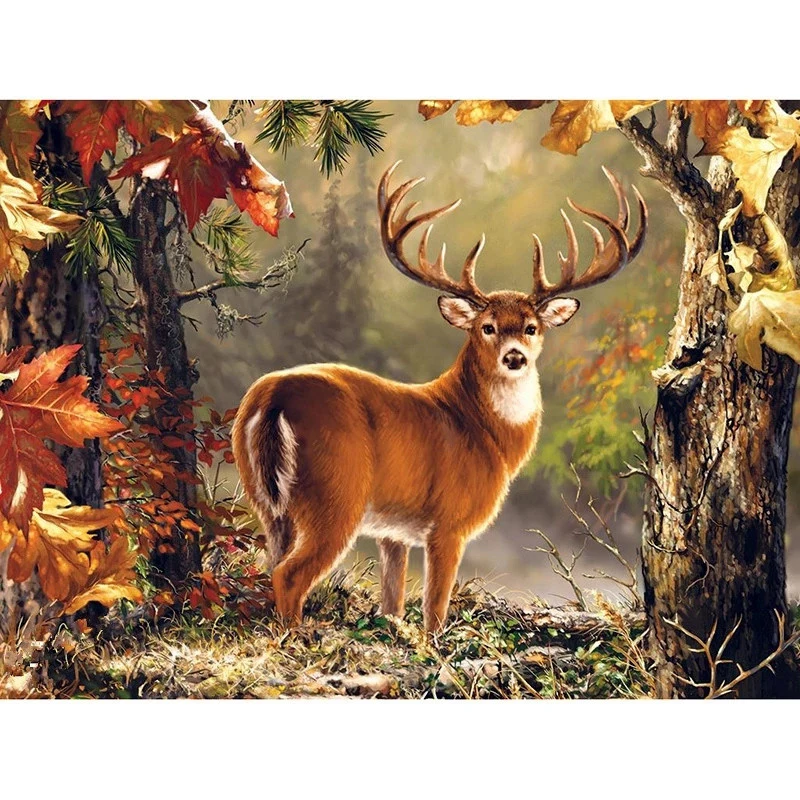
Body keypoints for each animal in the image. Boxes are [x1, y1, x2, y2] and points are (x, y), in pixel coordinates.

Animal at [231, 161, 647, 633]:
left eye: (531, 326)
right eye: (487, 327)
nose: (515, 357)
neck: (487, 435)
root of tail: (273, 397)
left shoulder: (392, 532)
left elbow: (392, 603)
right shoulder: (450, 522)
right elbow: (434, 610)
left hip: (265, 500)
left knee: (272, 562)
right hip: (336, 494)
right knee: (289, 574)